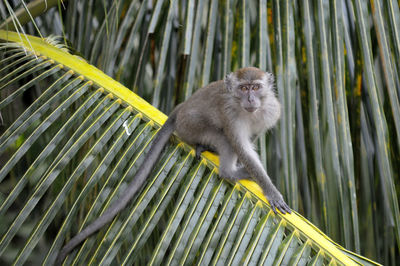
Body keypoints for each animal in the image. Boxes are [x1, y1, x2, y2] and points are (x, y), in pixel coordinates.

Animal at [55, 66, 290, 264]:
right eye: (243, 88)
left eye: (255, 87)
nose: (250, 98)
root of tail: (180, 109)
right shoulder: (230, 115)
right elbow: (240, 147)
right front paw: (271, 191)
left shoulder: (272, 110)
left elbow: (252, 138)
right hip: (191, 126)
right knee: (223, 139)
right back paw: (229, 171)